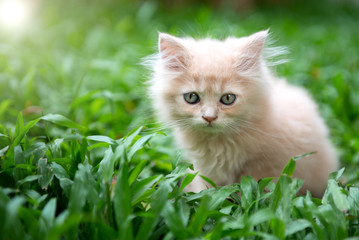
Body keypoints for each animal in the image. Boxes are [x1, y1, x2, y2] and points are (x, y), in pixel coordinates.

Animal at [148, 30, 338, 197]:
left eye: (228, 98)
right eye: (192, 97)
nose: (209, 117)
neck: (219, 143)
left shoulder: (269, 165)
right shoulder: (204, 168)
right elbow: (205, 188)